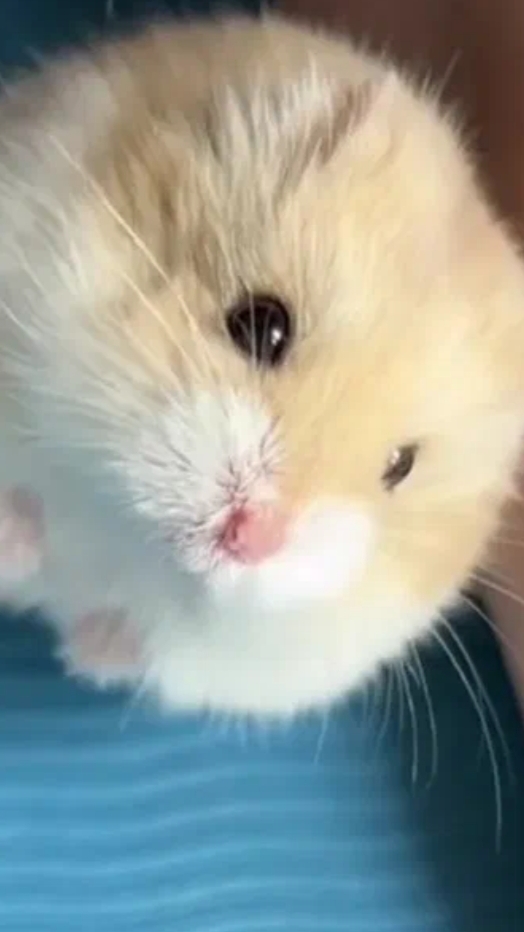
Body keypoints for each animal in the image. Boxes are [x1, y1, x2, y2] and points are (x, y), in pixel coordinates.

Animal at [0, 14, 524, 717]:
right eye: (262, 325)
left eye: (399, 466)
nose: (252, 537)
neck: (127, 523)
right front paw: (21, 537)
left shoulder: (268, 664)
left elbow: (160, 645)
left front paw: (90, 650)